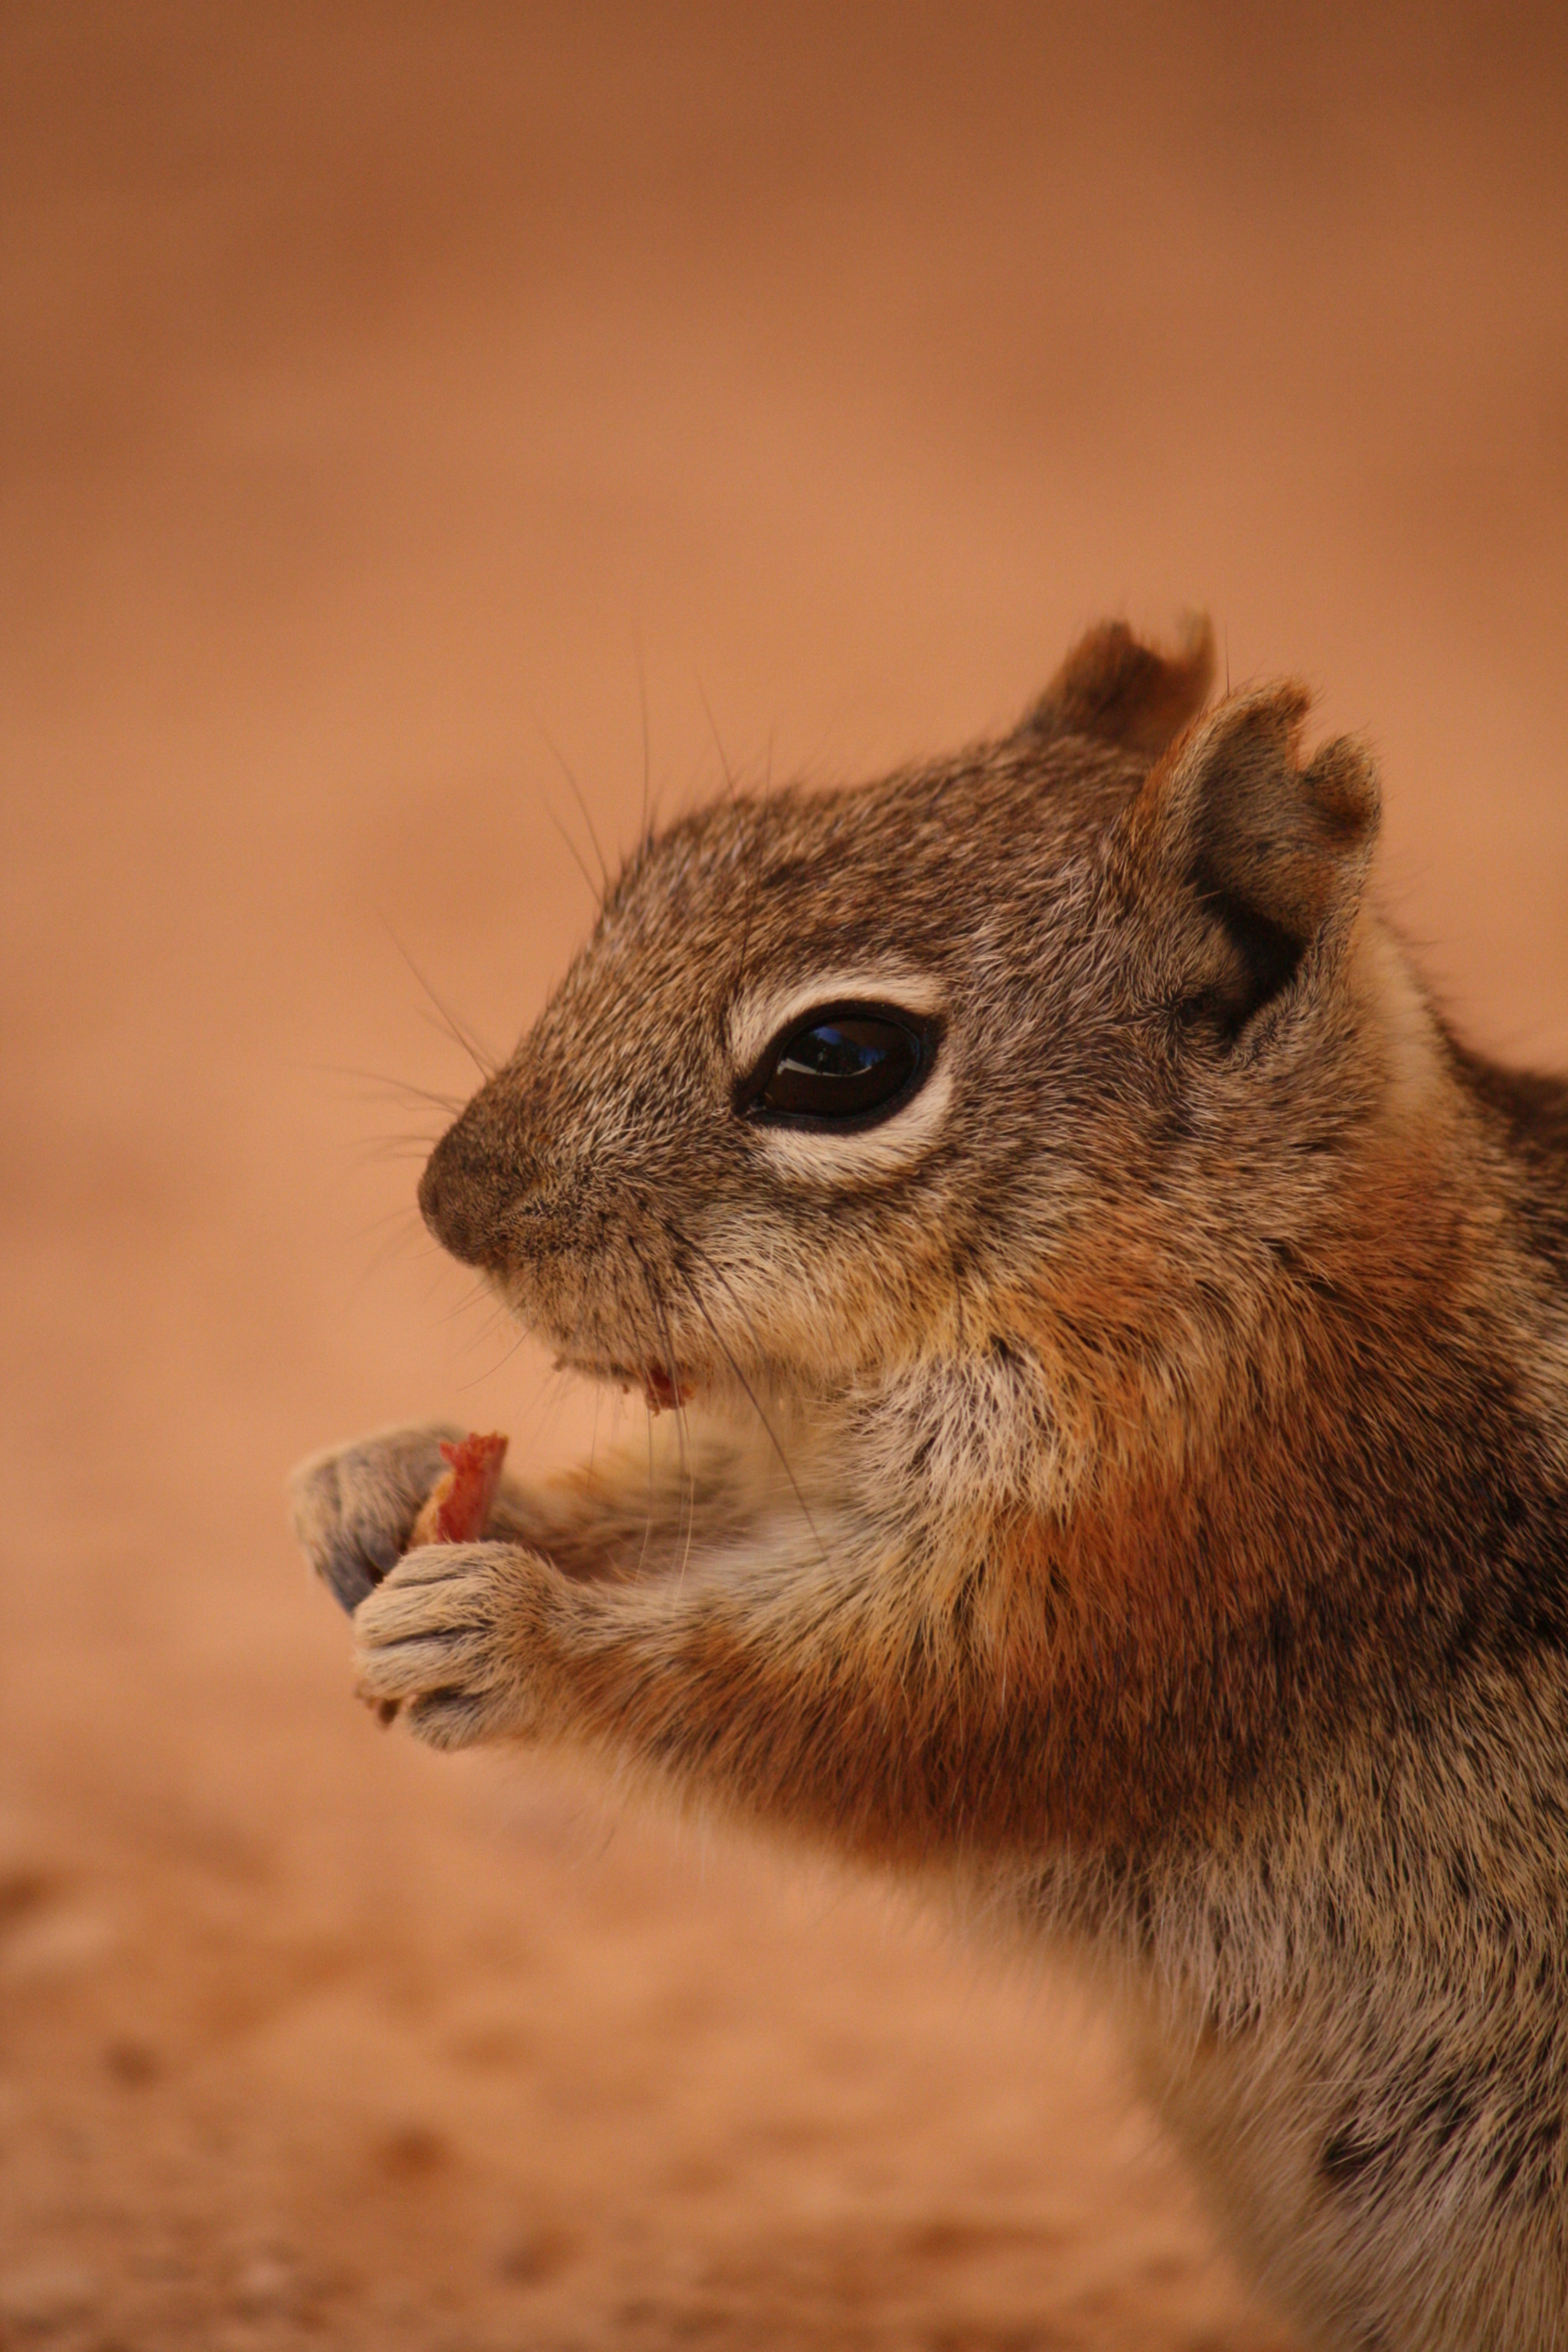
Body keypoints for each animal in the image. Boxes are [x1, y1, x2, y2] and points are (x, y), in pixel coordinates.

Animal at [290, 619, 1568, 2352]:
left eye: (841, 1059)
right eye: (673, 855)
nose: (452, 1203)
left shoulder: (1182, 1547)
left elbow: (886, 1713)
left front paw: (507, 1631)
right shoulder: (814, 1459)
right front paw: (378, 1482)